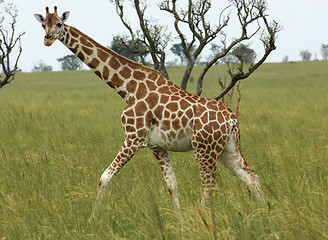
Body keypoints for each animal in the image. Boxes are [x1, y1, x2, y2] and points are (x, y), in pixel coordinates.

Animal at [34, 6, 262, 214]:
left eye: (59, 24)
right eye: (43, 24)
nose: (47, 39)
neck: (127, 88)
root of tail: (231, 119)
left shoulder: (134, 137)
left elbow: (104, 178)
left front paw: (92, 221)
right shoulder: (156, 145)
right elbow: (172, 186)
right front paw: (178, 222)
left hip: (204, 148)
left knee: (209, 187)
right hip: (227, 149)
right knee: (252, 177)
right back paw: (262, 216)